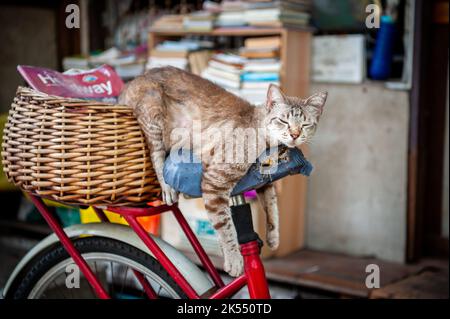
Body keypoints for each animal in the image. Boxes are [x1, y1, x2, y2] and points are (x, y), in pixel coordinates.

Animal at [118, 67, 326, 278]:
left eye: (305, 125)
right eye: (283, 121)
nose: (295, 135)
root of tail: (135, 80)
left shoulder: (264, 181)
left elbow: (272, 205)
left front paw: (273, 236)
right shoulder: (216, 182)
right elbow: (225, 226)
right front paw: (234, 260)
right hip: (153, 115)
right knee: (156, 154)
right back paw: (167, 188)